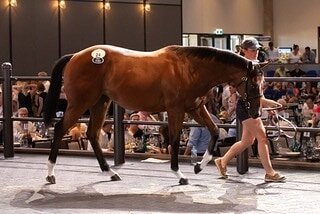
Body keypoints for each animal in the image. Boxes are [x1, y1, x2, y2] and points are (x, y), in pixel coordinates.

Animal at [43, 44, 264, 185]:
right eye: (253, 83)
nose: (256, 112)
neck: (189, 69)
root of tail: (75, 56)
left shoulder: (195, 108)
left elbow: (215, 131)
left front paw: (199, 166)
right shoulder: (176, 110)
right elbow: (174, 139)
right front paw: (180, 174)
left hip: (100, 102)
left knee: (92, 134)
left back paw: (110, 172)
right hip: (80, 103)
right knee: (60, 128)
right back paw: (50, 174)